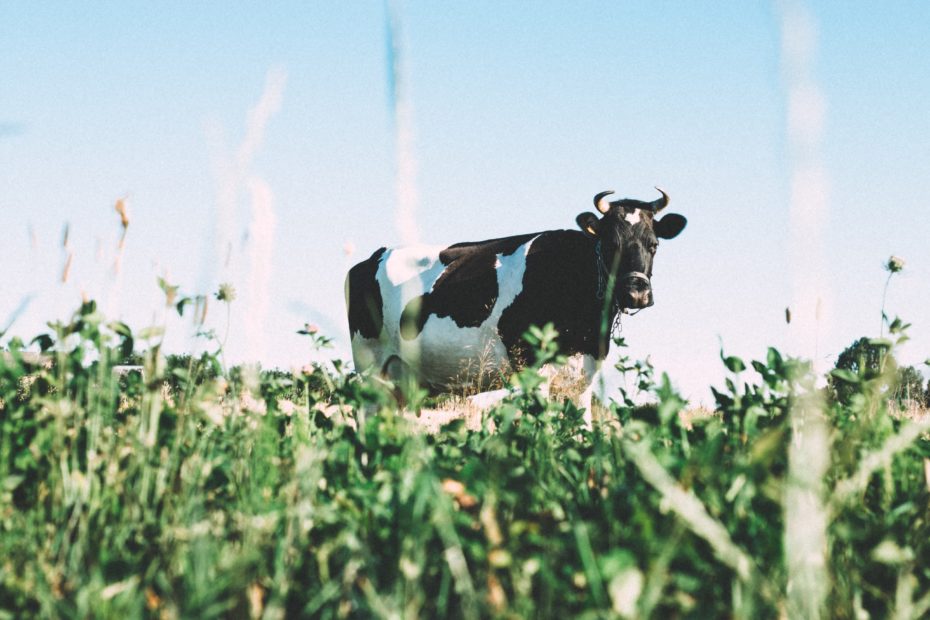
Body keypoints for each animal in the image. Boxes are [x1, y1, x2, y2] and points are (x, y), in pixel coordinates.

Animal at [344, 189, 684, 422]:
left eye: (654, 244)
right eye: (611, 244)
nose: (635, 292)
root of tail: (372, 256)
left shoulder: (584, 376)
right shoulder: (534, 368)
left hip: (401, 380)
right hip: (370, 366)